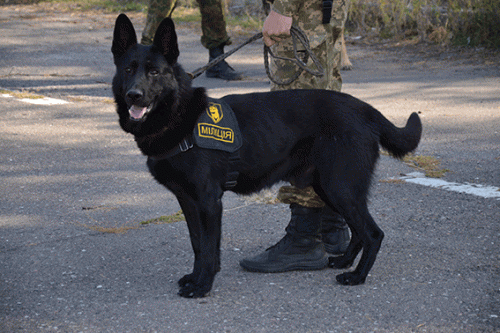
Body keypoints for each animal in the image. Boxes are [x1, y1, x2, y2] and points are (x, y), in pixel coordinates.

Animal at [111, 14, 420, 296]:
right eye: (128, 69)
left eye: (154, 72)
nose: (133, 95)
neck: (178, 116)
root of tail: (365, 108)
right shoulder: (188, 201)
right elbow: (198, 244)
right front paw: (195, 277)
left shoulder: (209, 202)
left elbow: (209, 248)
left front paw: (202, 285)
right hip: (329, 187)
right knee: (358, 231)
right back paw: (344, 261)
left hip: (341, 187)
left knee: (373, 233)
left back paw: (357, 276)